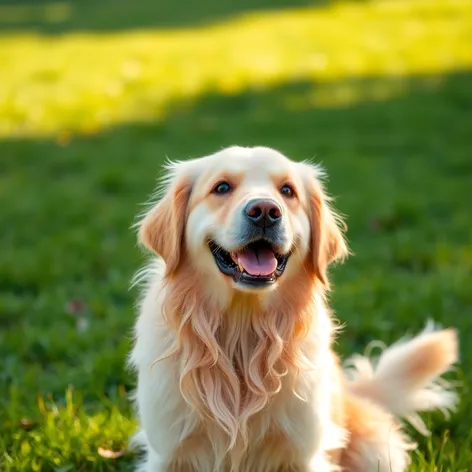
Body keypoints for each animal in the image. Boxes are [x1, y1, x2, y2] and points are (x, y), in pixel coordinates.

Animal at [127, 146, 460, 470]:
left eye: (287, 190)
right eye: (221, 187)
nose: (264, 211)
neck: (241, 334)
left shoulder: (304, 454)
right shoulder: (168, 453)